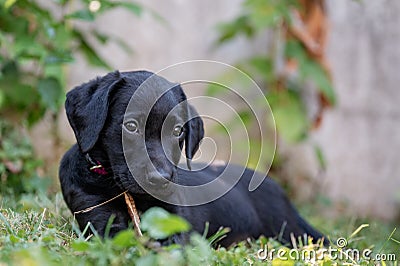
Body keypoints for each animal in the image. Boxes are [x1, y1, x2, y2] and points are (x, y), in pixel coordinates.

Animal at [60, 69, 328, 246]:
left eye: (178, 130)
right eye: (131, 126)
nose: (161, 179)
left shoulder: (173, 220)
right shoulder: (99, 219)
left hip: (288, 229)